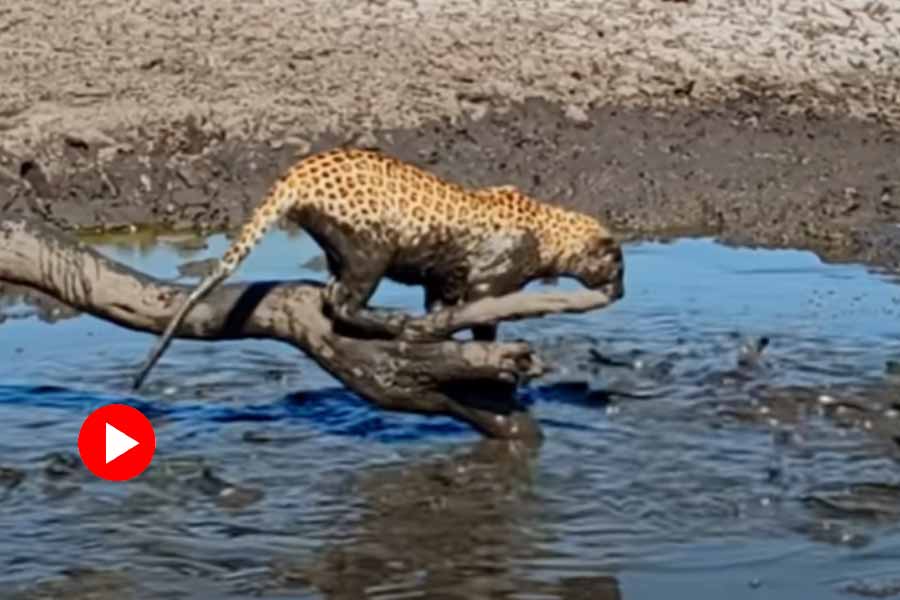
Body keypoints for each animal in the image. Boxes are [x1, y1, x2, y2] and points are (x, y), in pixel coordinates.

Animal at [132, 146, 624, 390]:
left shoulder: (442, 280)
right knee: (341, 303)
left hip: (347, 251)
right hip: (372, 250)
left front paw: (440, 333)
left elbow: (442, 307)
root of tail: (300, 170)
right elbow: (484, 321)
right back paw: (392, 323)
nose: (620, 292)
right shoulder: (486, 283)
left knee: (331, 294)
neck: (550, 232)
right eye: (618, 264)